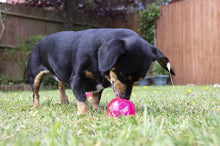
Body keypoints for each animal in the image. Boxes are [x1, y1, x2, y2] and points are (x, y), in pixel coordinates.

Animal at [27, 28, 175, 114]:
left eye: (138, 80)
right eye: (122, 75)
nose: (126, 98)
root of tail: (38, 43)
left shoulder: (100, 82)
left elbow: (96, 97)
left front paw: (97, 109)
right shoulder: (76, 79)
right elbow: (82, 98)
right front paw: (84, 115)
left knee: (60, 83)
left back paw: (64, 100)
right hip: (35, 77)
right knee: (36, 93)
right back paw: (36, 106)